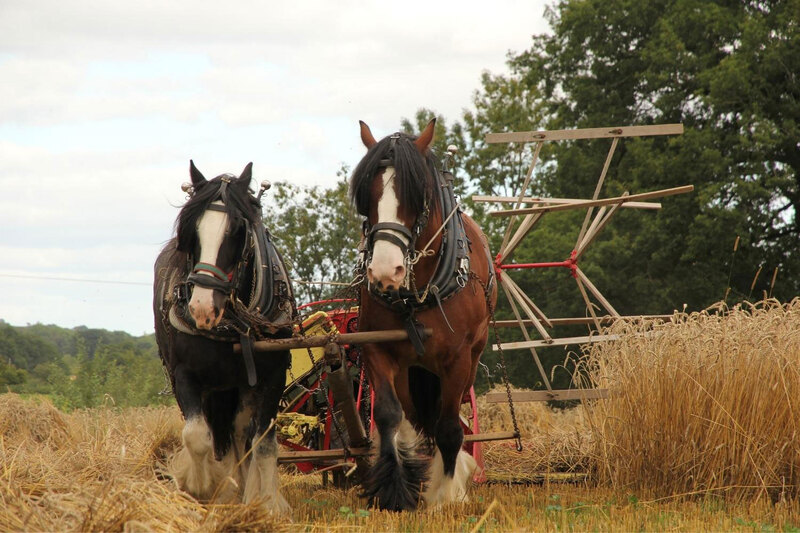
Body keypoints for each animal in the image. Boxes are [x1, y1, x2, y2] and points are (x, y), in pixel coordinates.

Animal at [153, 161, 295, 514]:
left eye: (236, 231)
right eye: (191, 232)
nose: (202, 308)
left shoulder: (271, 376)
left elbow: (263, 441)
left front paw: (268, 503)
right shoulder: (185, 375)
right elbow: (197, 435)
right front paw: (200, 485)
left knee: (240, 431)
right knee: (218, 434)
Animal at [350, 119, 497, 510]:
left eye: (416, 196)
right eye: (366, 198)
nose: (385, 271)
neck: (415, 298)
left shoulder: (457, 358)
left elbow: (448, 427)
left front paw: (446, 493)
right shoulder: (377, 349)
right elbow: (389, 414)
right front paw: (394, 490)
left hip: (470, 359)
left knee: (449, 418)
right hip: (410, 369)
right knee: (415, 417)